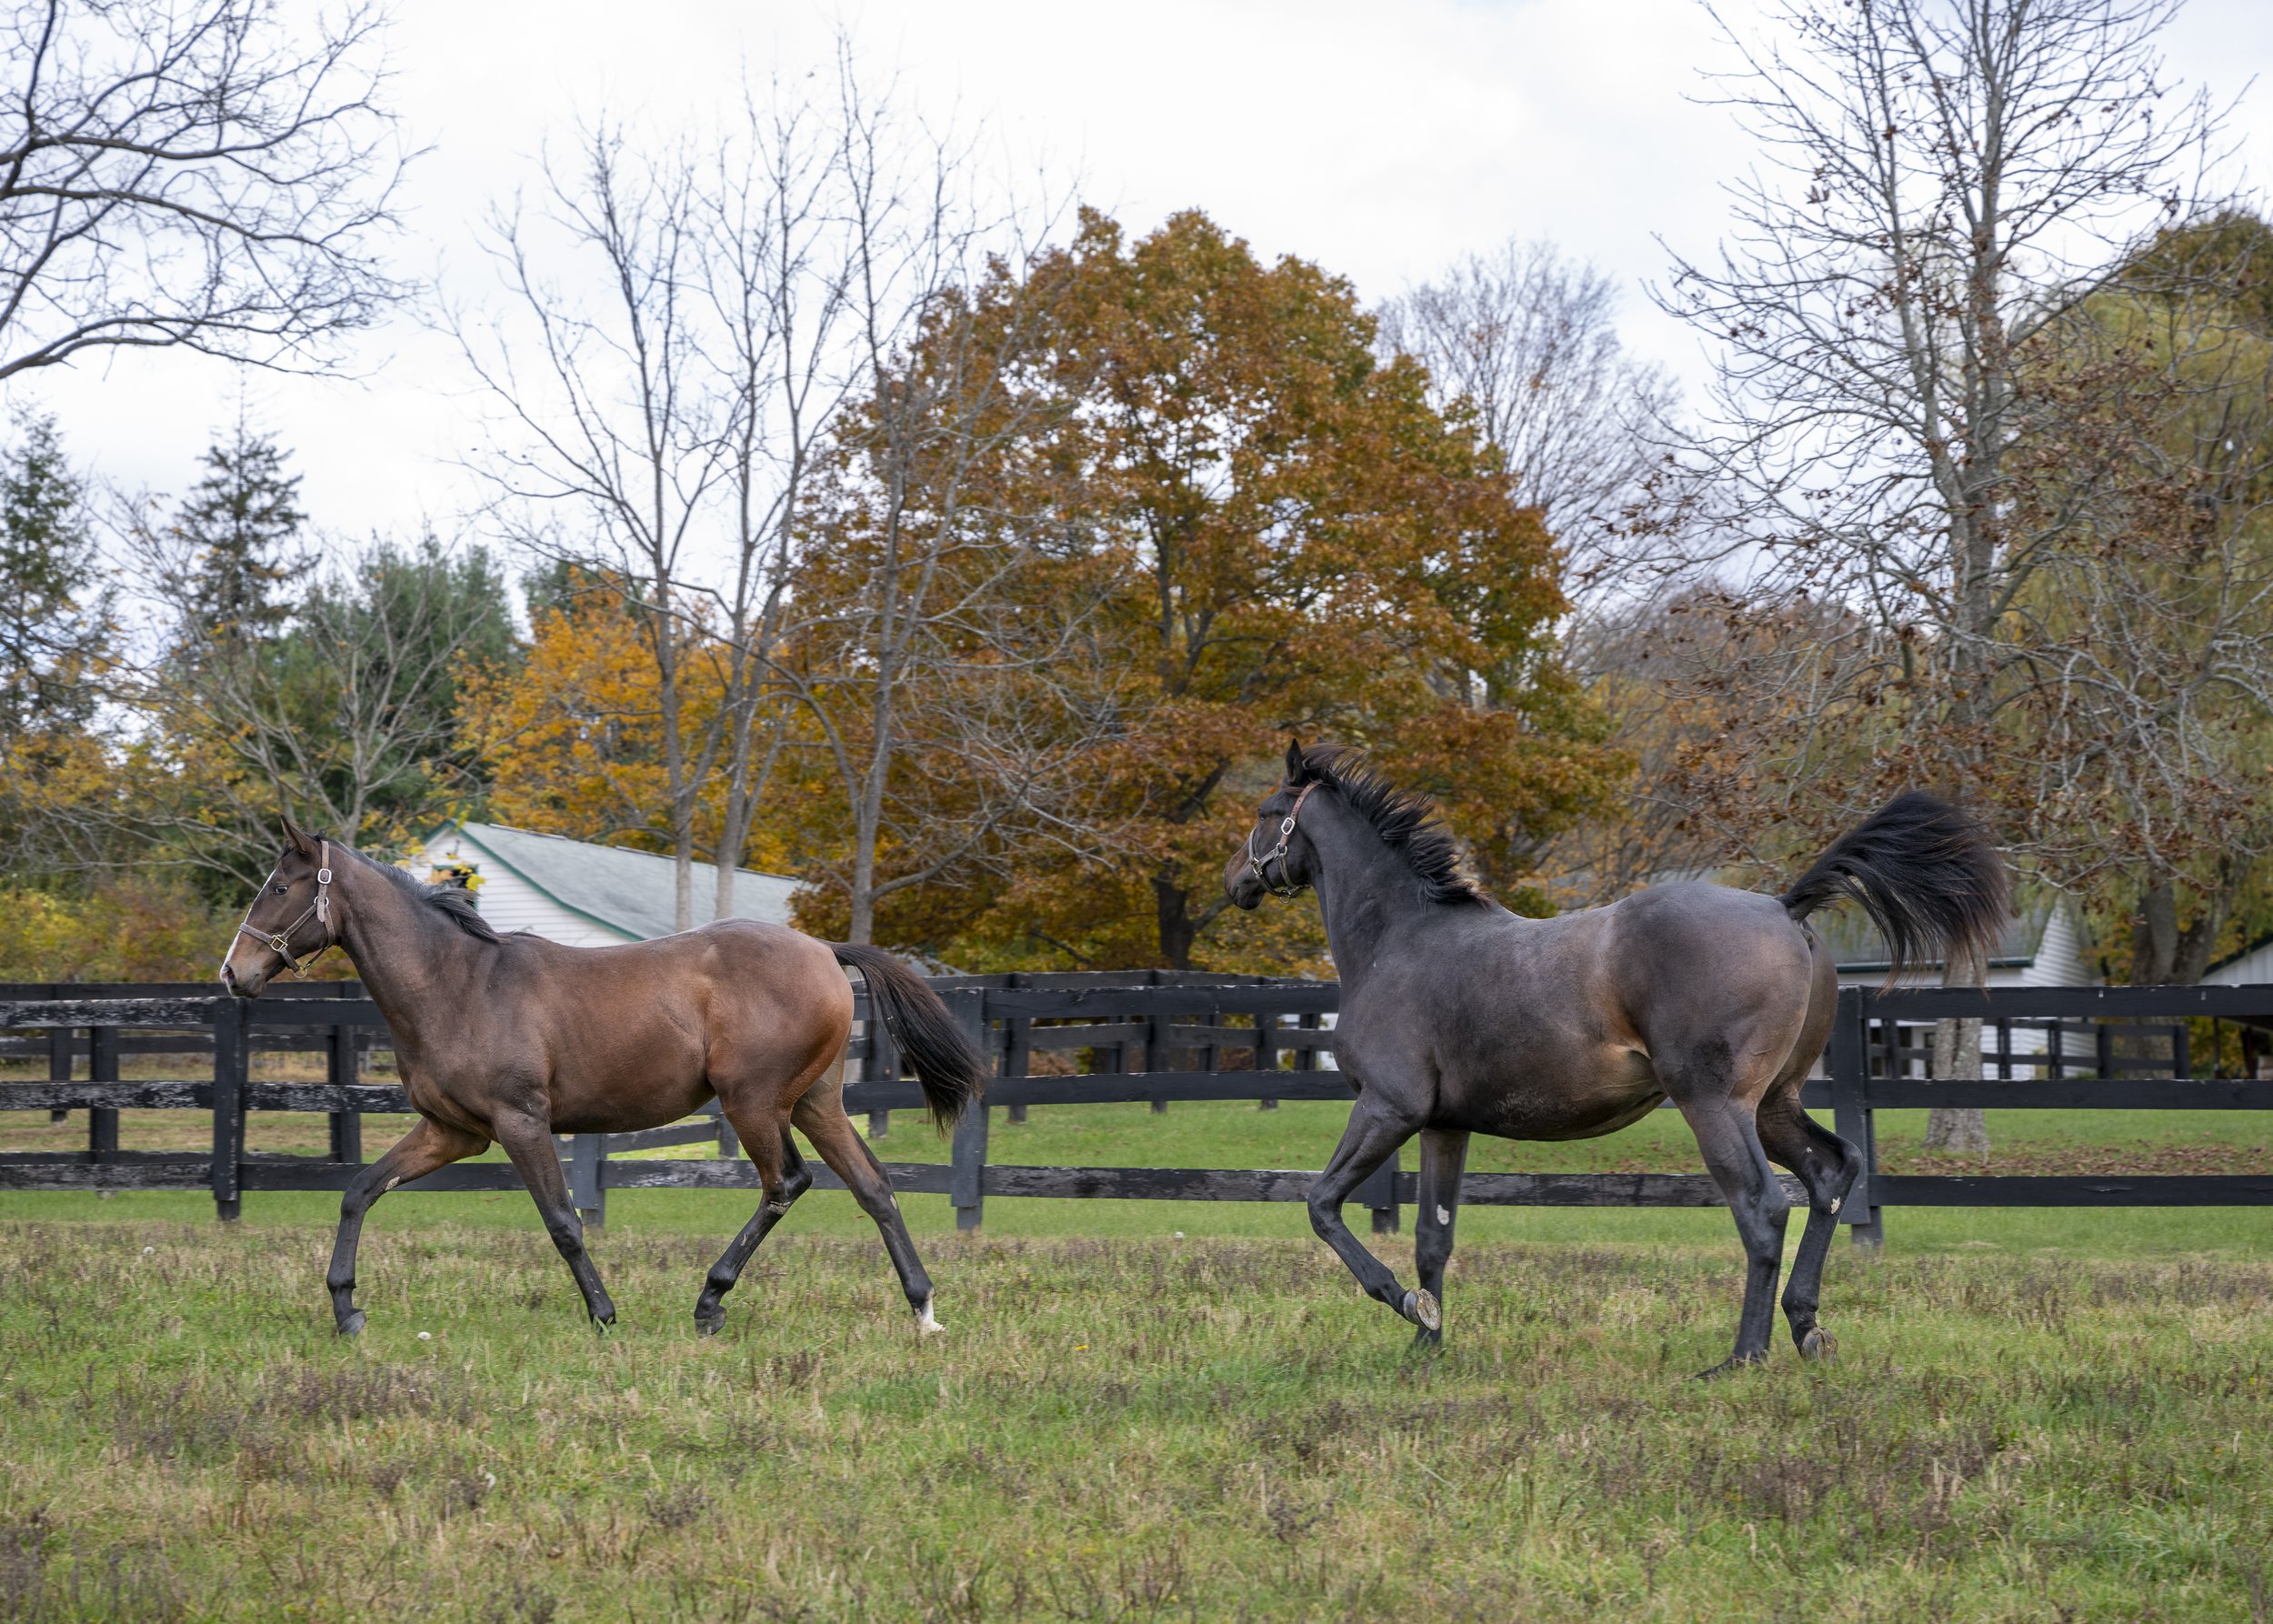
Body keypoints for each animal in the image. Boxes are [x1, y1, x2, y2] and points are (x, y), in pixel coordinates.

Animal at [219, 818, 984, 1338]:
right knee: (874, 1189)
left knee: (787, 1184)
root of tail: (825, 951)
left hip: (753, 1103)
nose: (234, 973)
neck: (457, 984)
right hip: (815, 1104)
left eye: (279, 887)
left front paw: (603, 1313)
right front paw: (346, 1309)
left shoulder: (520, 1122)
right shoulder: (452, 1134)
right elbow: (358, 1191)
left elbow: (563, 1221)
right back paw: (924, 1308)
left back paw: (710, 1301)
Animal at [1224, 742, 2006, 1376]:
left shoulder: (1388, 1109)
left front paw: (1399, 1302)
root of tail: (1786, 908)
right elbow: (1431, 1239)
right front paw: (1427, 1341)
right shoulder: (1446, 1126)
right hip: (1774, 1104)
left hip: (1715, 1104)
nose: (1235, 882)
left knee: (1763, 1207)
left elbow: (1322, 1204)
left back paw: (1741, 1358)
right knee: (1831, 1173)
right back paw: (1807, 1330)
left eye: (1266, 812)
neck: (1399, 939)